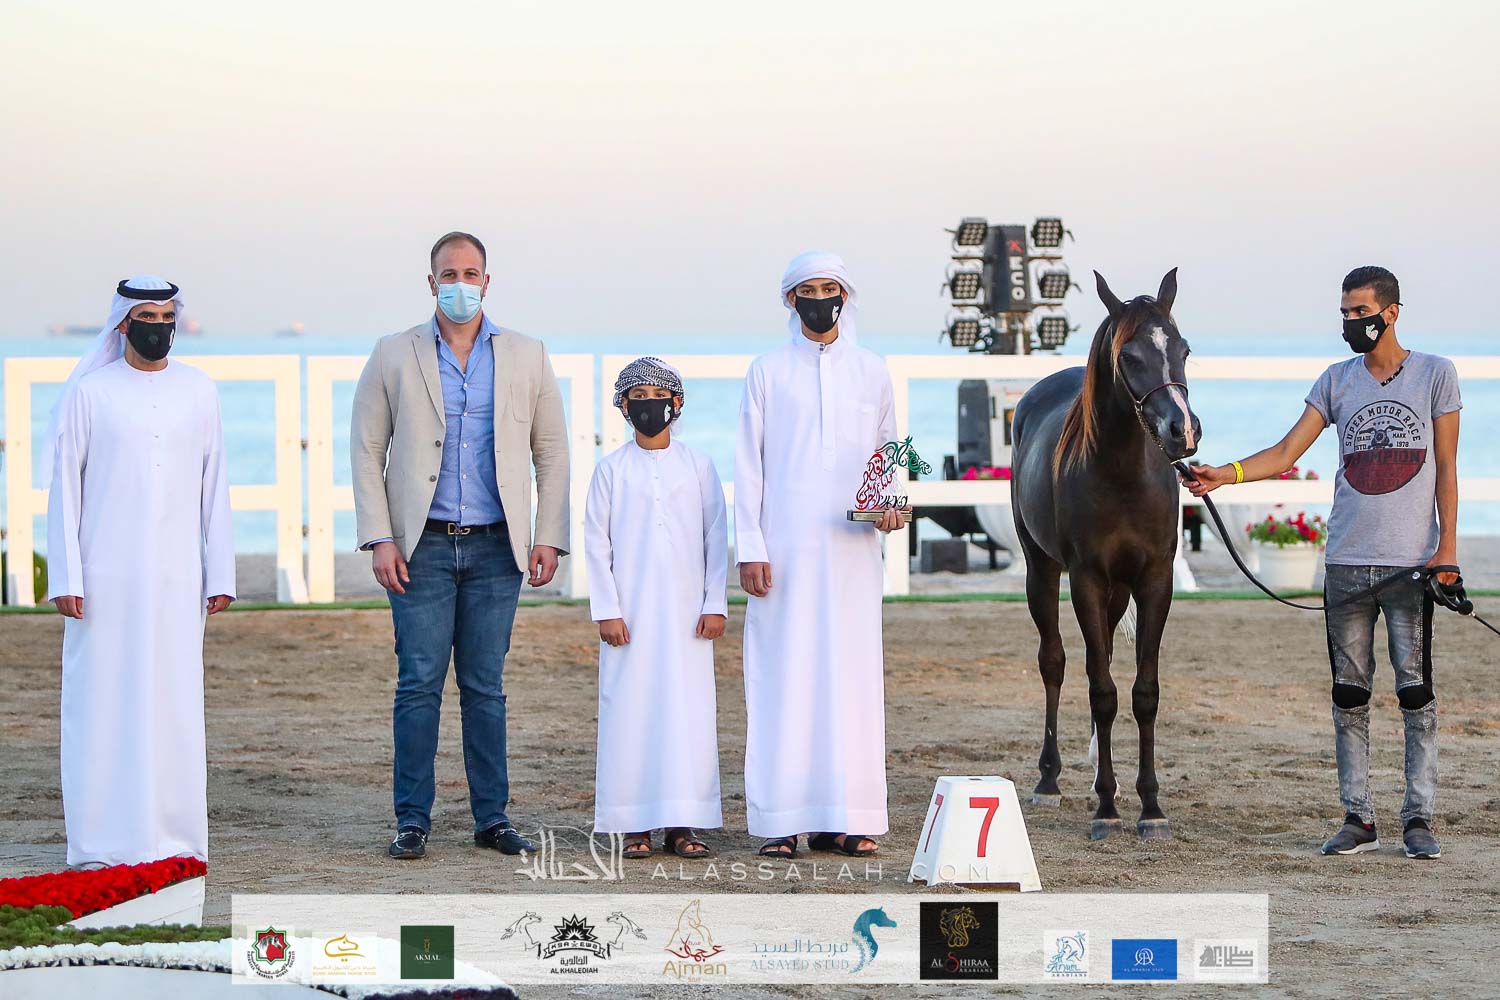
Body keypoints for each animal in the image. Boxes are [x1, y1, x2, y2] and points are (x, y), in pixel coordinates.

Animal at [1010, 268, 1200, 840]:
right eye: (1129, 356)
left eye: (1183, 349)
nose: (1182, 431)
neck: (1122, 474)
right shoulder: (1086, 579)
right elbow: (1101, 690)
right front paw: (1108, 809)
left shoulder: (1155, 580)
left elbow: (1142, 692)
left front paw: (1150, 806)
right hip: (1043, 571)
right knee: (1055, 662)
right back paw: (1050, 780)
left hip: (1118, 591)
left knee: (1108, 659)